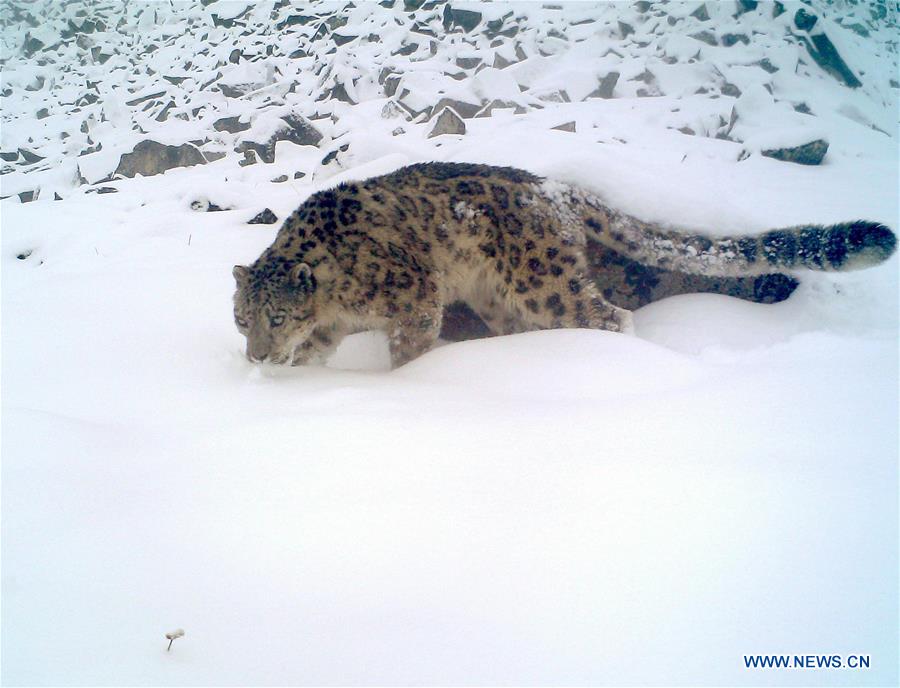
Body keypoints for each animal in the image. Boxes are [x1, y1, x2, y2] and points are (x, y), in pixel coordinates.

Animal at [232, 161, 892, 368]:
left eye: (278, 316)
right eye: (243, 320)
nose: (257, 356)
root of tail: (558, 189)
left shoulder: (413, 298)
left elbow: (410, 349)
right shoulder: (330, 330)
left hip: (542, 283)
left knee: (611, 316)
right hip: (501, 298)